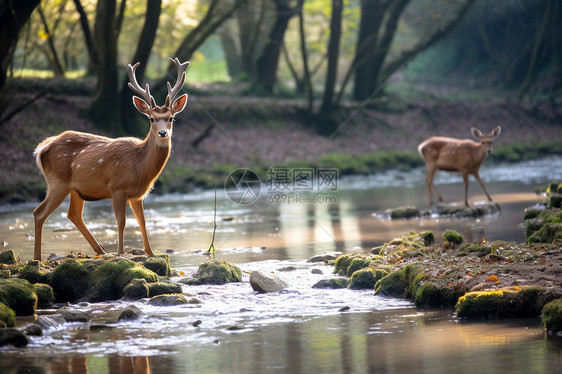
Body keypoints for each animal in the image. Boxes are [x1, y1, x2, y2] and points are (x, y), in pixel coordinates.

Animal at [34, 57, 189, 260]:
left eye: (171, 118)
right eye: (151, 119)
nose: (163, 133)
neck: (139, 167)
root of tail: (42, 148)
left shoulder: (137, 195)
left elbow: (142, 221)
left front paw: (150, 253)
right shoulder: (117, 187)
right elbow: (121, 221)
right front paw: (121, 253)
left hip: (76, 189)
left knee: (73, 215)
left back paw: (100, 251)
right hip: (57, 182)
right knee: (39, 213)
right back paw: (37, 258)